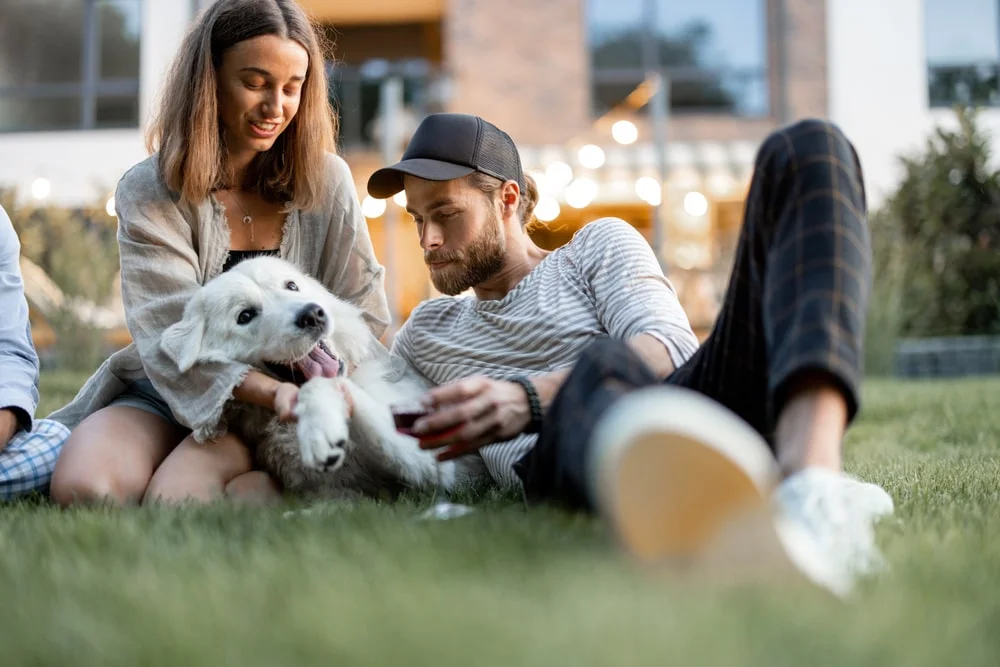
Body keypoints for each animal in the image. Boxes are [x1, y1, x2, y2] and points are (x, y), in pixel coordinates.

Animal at [160, 256, 484, 500]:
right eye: (245, 316)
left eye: (291, 286)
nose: (312, 315)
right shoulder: (336, 494)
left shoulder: (436, 466)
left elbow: (321, 384)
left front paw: (319, 430)